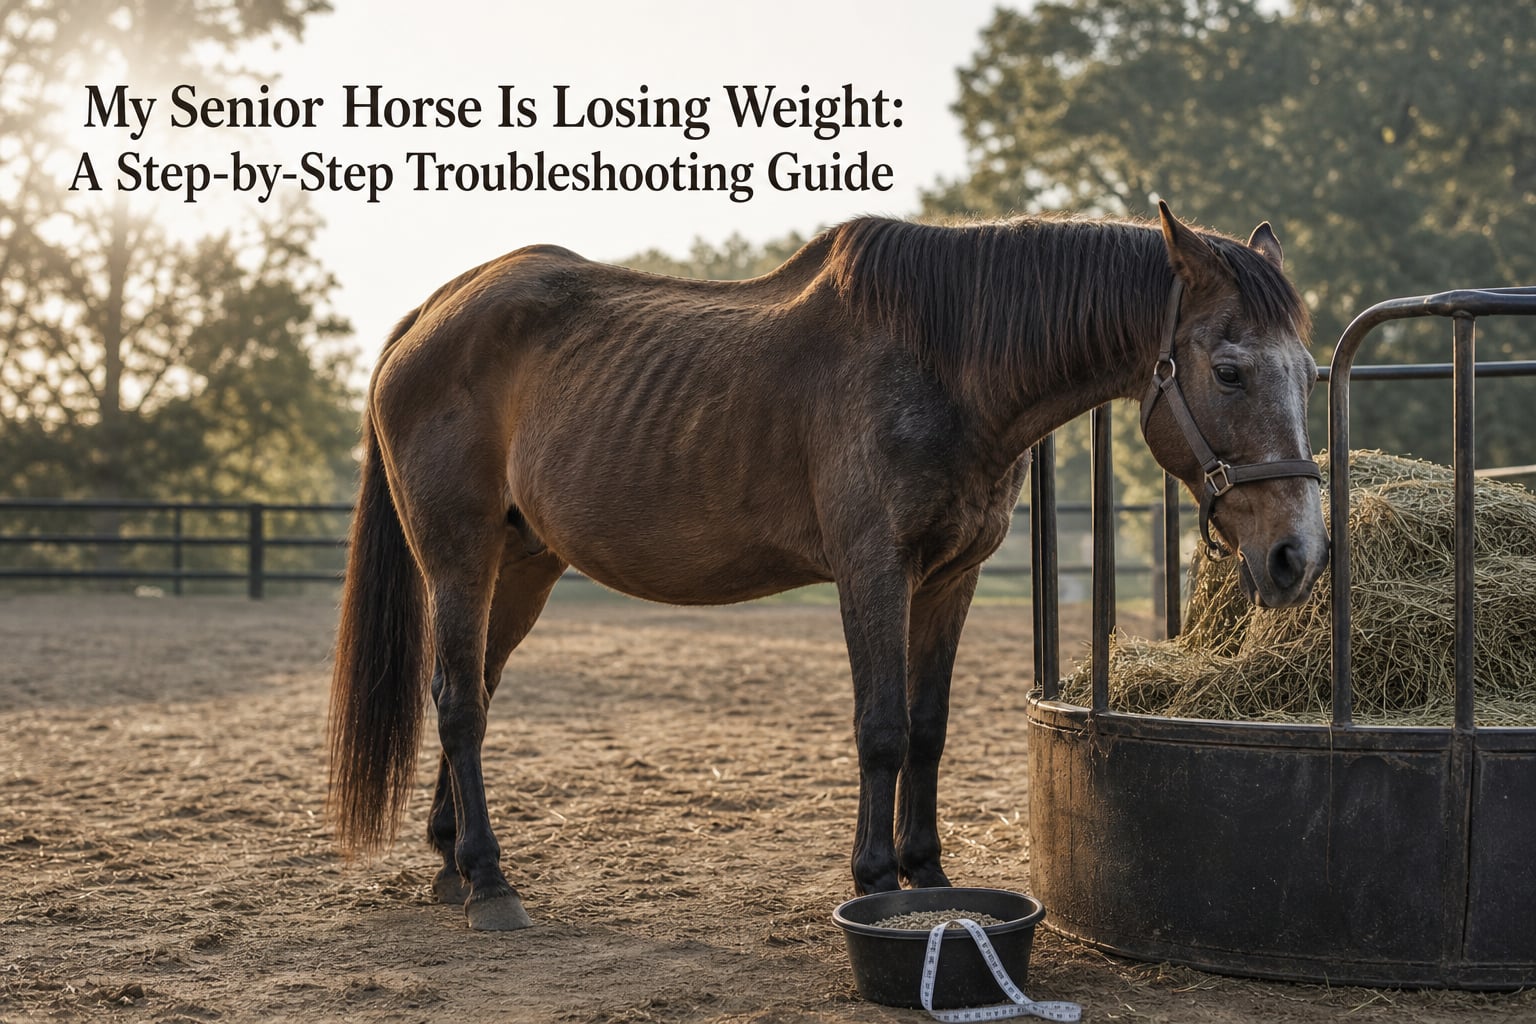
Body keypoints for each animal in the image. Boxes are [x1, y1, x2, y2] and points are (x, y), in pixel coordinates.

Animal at [327, 202, 1329, 930]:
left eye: (1307, 371)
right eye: (1230, 370)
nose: (1299, 554)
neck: (944, 359)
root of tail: (429, 318)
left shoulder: (950, 579)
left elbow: (928, 728)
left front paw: (929, 874)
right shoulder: (872, 569)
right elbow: (881, 727)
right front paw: (876, 878)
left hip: (522, 564)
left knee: (471, 691)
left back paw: (453, 862)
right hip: (457, 555)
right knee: (459, 704)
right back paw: (490, 884)